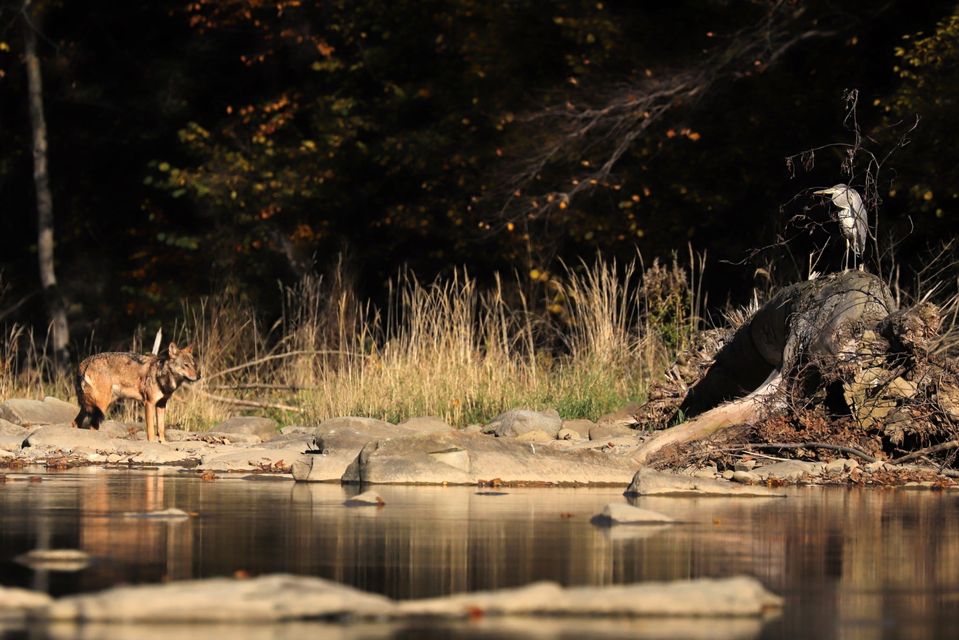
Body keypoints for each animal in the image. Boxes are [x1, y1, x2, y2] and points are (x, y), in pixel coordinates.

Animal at [72, 342, 201, 442]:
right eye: (185, 365)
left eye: (194, 365)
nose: (199, 376)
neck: (161, 375)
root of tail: (84, 363)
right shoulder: (149, 403)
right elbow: (151, 430)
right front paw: (152, 444)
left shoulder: (161, 405)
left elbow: (161, 429)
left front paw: (163, 444)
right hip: (101, 406)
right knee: (91, 427)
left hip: (89, 407)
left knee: (75, 423)